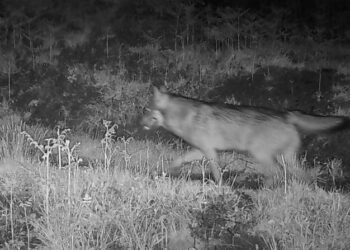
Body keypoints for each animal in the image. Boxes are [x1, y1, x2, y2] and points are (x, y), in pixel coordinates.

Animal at [141, 87, 348, 185]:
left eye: (146, 110)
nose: (139, 123)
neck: (183, 116)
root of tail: (286, 114)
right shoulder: (201, 150)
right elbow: (177, 160)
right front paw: (161, 172)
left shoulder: (209, 152)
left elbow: (216, 173)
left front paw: (221, 187)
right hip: (286, 159)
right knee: (300, 175)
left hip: (260, 155)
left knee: (277, 174)